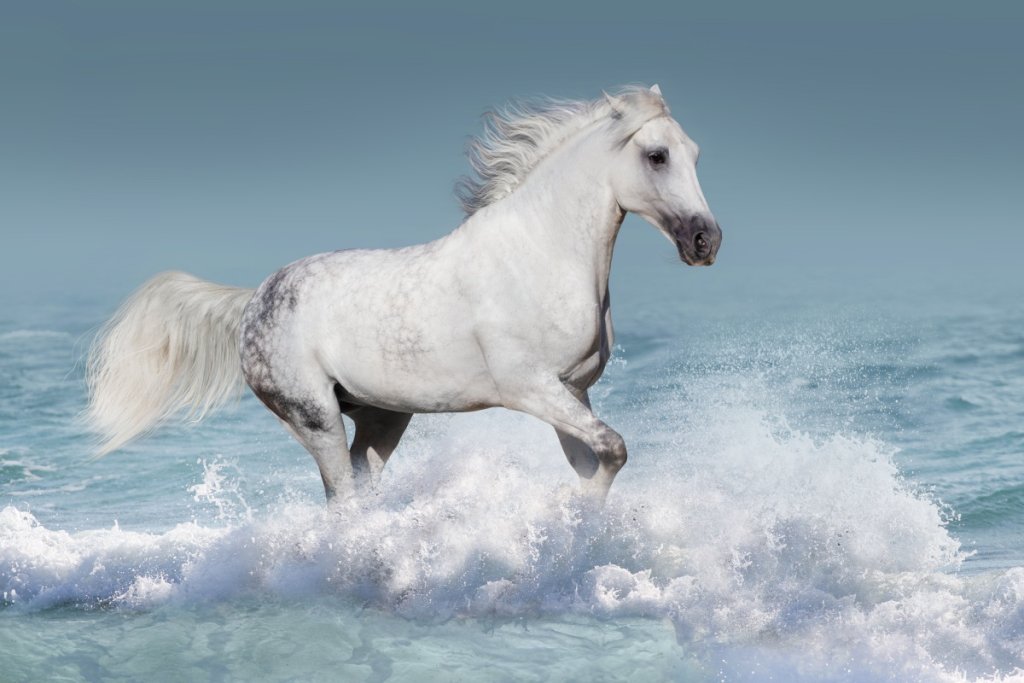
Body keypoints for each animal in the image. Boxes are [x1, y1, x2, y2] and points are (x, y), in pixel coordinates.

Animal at [86, 84, 721, 505]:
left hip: (381, 418)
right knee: (342, 499)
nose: (705, 240)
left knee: (362, 490)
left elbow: (592, 464)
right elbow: (613, 449)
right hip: (314, 417)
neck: (539, 255)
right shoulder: (529, 387)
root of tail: (252, 300)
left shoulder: (573, 391)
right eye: (656, 155)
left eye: (695, 153)